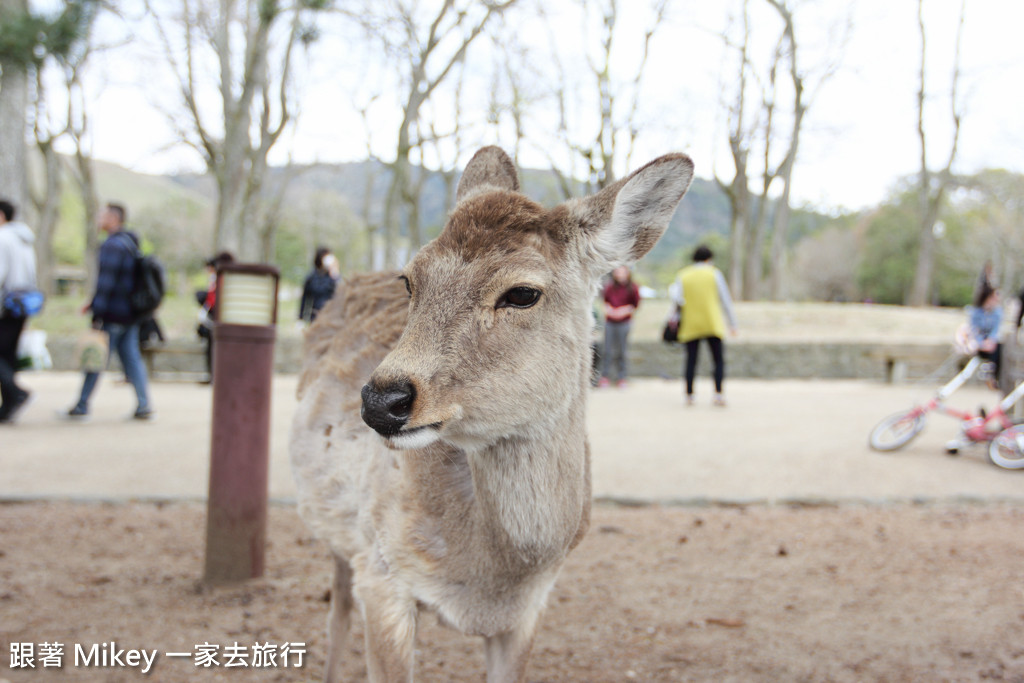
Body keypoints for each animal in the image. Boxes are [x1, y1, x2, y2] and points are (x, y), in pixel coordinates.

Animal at [288, 147, 696, 679]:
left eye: (522, 293)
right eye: (410, 280)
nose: (381, 400)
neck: (494, 577)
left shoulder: (530, 611)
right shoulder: (381, 576)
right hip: (342, 535)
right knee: (336, 606)